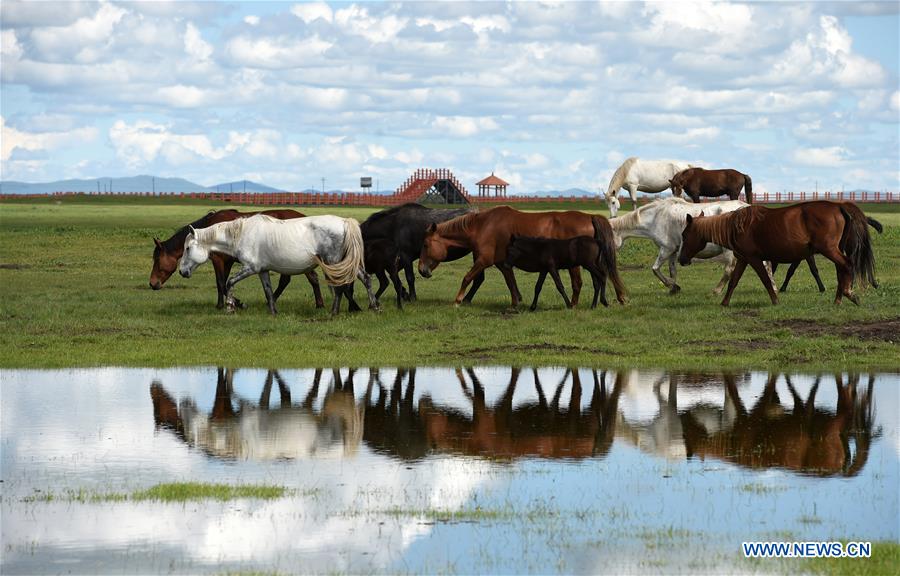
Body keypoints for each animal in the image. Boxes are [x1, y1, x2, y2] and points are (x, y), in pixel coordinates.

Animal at [150, 209, 324, 310]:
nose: (152, 284)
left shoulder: (219, 261)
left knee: (309, 279)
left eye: (157, 260)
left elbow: (221, 283)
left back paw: (319, 305)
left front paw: (235, 303)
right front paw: (223, 304)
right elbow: (222, 283)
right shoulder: (226, 262)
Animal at [178, 214, 378, 315]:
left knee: (340, 287)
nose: (182, 271)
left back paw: (334, 312)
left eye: (187, 248)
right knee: (366, 279)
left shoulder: (250, 268)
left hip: (333, 262)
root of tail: (344, 222)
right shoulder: (262, 271)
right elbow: (268, 291)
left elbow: (229, 282)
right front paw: (273, 312)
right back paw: (374, 307)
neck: (241, 234)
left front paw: (230, 305)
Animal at [419, 206, 626, 307]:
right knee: (597, 280)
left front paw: (458, 300)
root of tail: (590, 216)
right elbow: (511, 282)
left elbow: (467, 278)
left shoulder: (484, 260)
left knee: (578, 284)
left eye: (426, 245)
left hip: (576, 264)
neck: (483, 225)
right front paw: (516, 301)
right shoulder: (502, 263)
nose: (421, 270)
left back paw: (573, 305)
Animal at [609, 197, 824, 295]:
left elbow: (655, 269)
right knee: (766, 266)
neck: (656, 216)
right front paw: (674, 287)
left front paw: (671, 286)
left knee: (729, 269)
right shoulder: (674, 252)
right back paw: (773, 286)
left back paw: (717, 290)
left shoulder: (666, 249)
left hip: (730, 251)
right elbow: (672, 271)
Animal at [678, 201, 880, 306]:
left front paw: (775, 300)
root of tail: (838, 206)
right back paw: (839, 299)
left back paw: (848, 294)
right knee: (841, 269)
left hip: (829, 249)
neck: (737, 226)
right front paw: (724, 303)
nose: (681, 259)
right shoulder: (743, 259)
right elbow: (733, 281)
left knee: (846, 265)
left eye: (685, 235)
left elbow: (766, 280)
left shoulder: (754, 259)